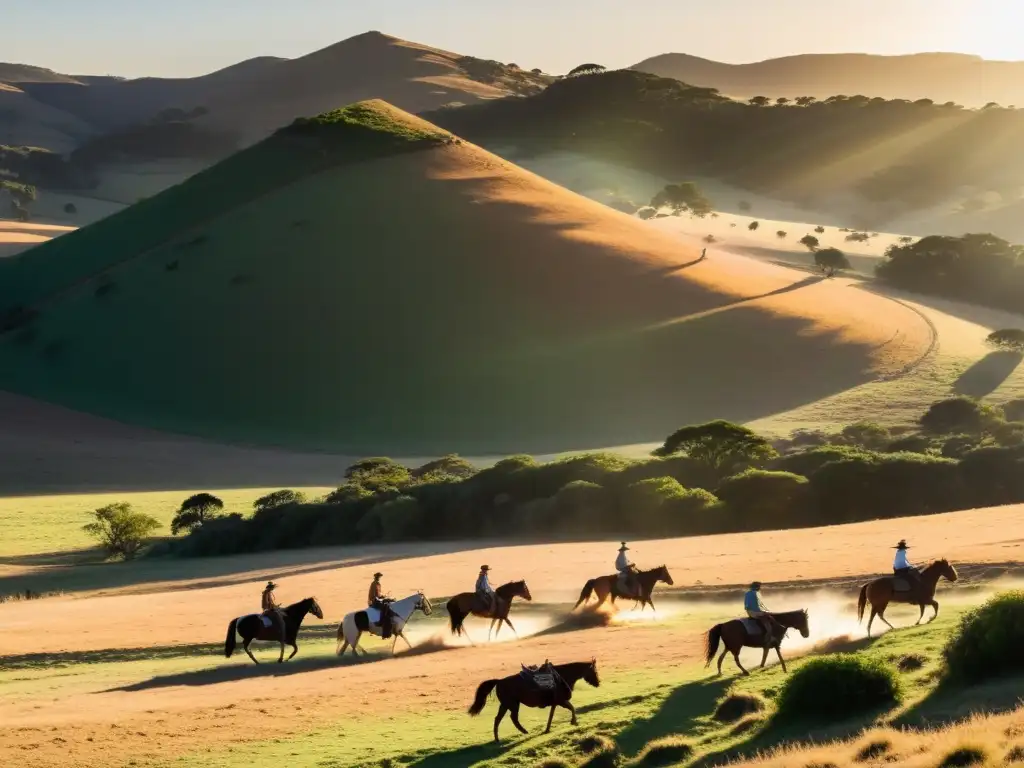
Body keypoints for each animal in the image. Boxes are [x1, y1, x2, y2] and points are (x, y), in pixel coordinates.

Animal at [468, 659, 602, 741]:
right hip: (512, 704)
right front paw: (574, 722)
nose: (598, 683)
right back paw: (520, 732)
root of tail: (499, 681)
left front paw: (547, 729)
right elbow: (572, 708)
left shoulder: (556, 703)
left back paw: (499, 738)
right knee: (511, 718)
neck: (562, 676)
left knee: (500, 719)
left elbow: (552, 715)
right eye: (594, 670)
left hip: (507, 705)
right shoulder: (561, 701)